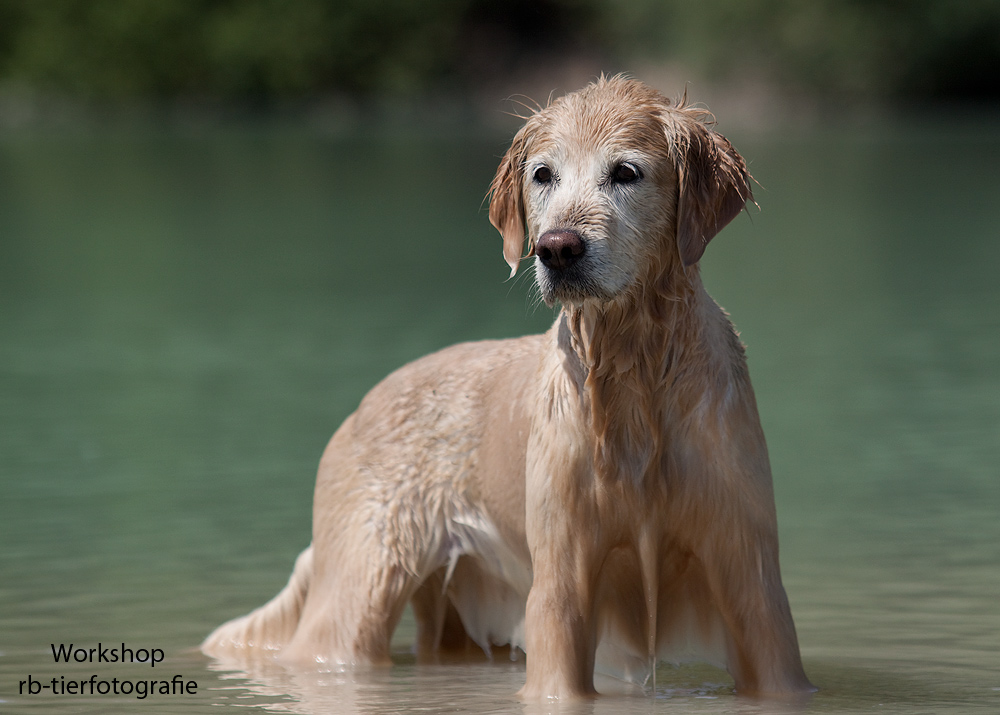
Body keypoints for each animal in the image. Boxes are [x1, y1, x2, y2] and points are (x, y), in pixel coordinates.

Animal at [201, 77, 812, 700]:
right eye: (543, 174)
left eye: (626, 172)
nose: (557, 248)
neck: (634, 375)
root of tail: (363, 403)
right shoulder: (562, 577)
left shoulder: (751, 580)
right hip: (356, 595)